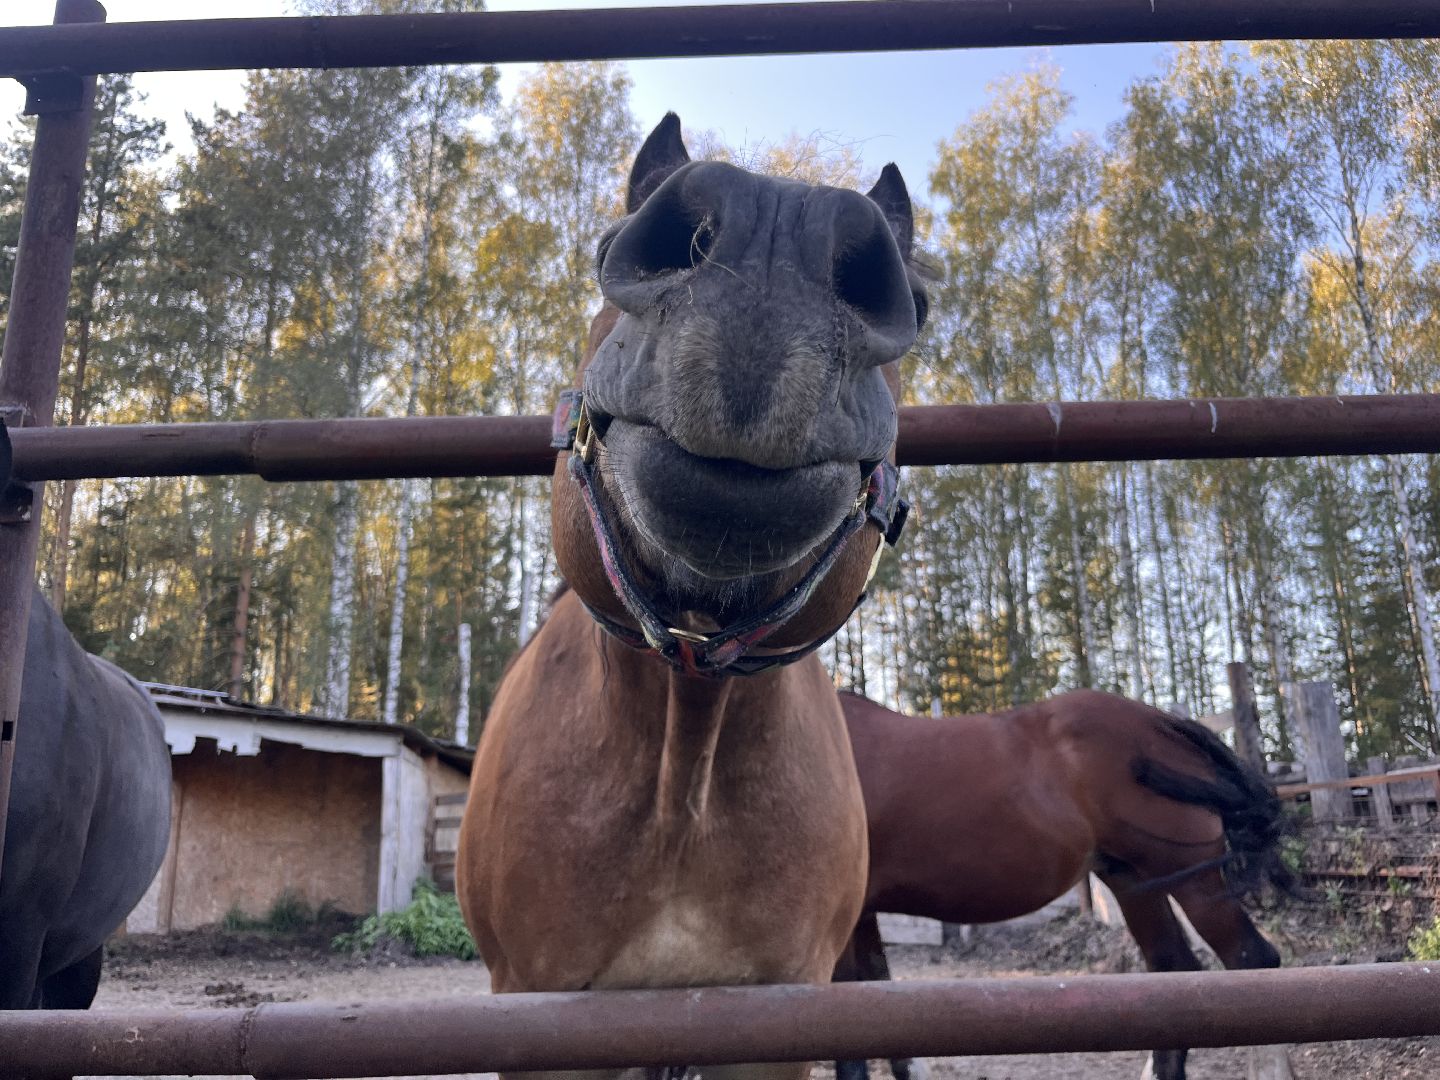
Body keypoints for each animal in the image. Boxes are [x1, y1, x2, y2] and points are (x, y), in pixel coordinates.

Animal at [832, 689, 1291, 1080]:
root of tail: (1162, 722)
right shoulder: (861, 916)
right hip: (1134, 882)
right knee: (1172, 972)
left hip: (1193, 878)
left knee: (1252, 960)